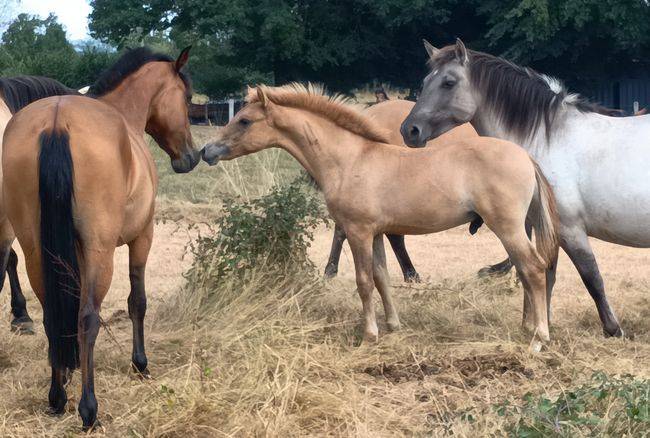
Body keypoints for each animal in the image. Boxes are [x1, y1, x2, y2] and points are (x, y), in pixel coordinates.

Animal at [400, 39, 649, 338]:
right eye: (425, 81)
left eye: (448, 82)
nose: (409, 130)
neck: (548, 140)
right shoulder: (545, 228)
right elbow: (545, 273)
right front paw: (539, 324)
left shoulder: (569, 230)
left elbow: (591, 277)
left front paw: (613, 330)